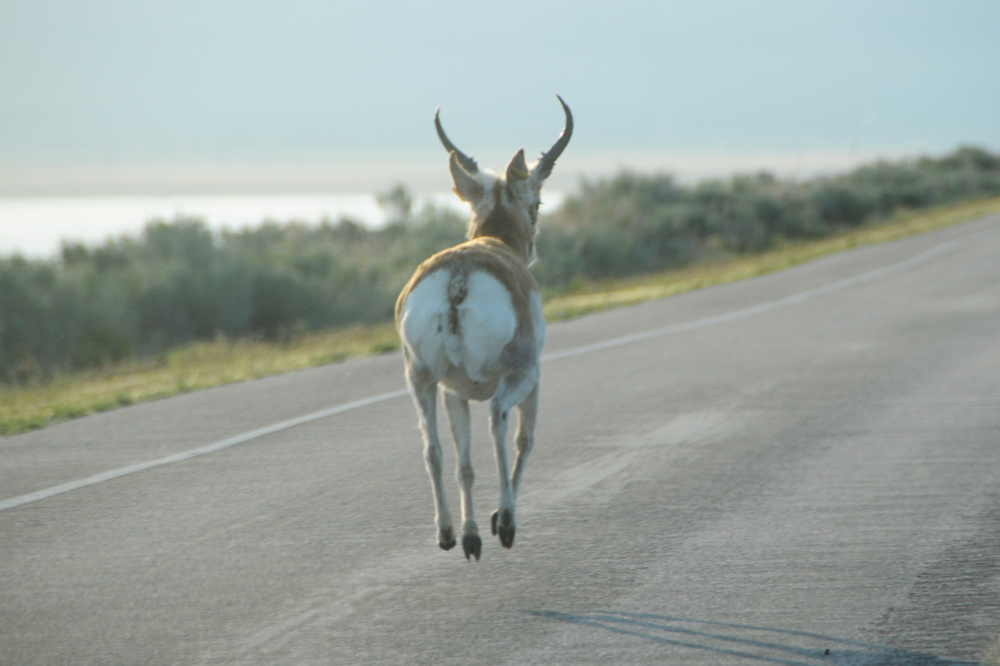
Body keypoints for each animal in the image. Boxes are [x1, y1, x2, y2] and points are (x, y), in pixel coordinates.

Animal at [395, 96, 573, 560]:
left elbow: (464, 463)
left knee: (434, 449)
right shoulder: (534, 378)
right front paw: (495, 523)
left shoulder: (454, 392)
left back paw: (450, 534)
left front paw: (473, 532)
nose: (533, 249)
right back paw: (506, 523)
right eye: (537, 202)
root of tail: (458, 278)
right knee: (498, 421)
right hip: (516, 376)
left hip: (422, 381)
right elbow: (525, 440)